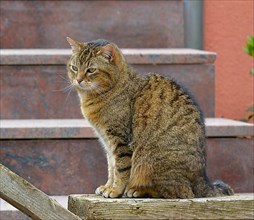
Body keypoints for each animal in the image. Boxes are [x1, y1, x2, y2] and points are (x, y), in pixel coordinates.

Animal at [66, 37, 233, 199]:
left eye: (91, 70)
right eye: (74, 68)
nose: (78, 80)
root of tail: (202, 180)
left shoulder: (119, 140)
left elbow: (120, 169)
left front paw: (115, 190)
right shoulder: (106, 141)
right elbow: (111, 167)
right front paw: (107, 186)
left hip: (151, 160)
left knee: (179, 192)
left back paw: (138, 190)